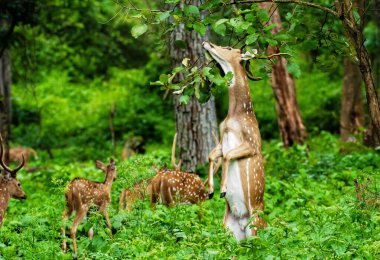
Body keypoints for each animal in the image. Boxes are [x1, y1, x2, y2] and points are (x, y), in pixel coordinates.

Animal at [202, 41, 268, 241]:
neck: (234, 117)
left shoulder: (253, 143)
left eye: (229, 48)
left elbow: (228, 155)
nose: (207, 43)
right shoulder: (221, 139)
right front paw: (210, 191)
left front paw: (222, 190)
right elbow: (211, 155)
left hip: (256, 226)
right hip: (228, 228)